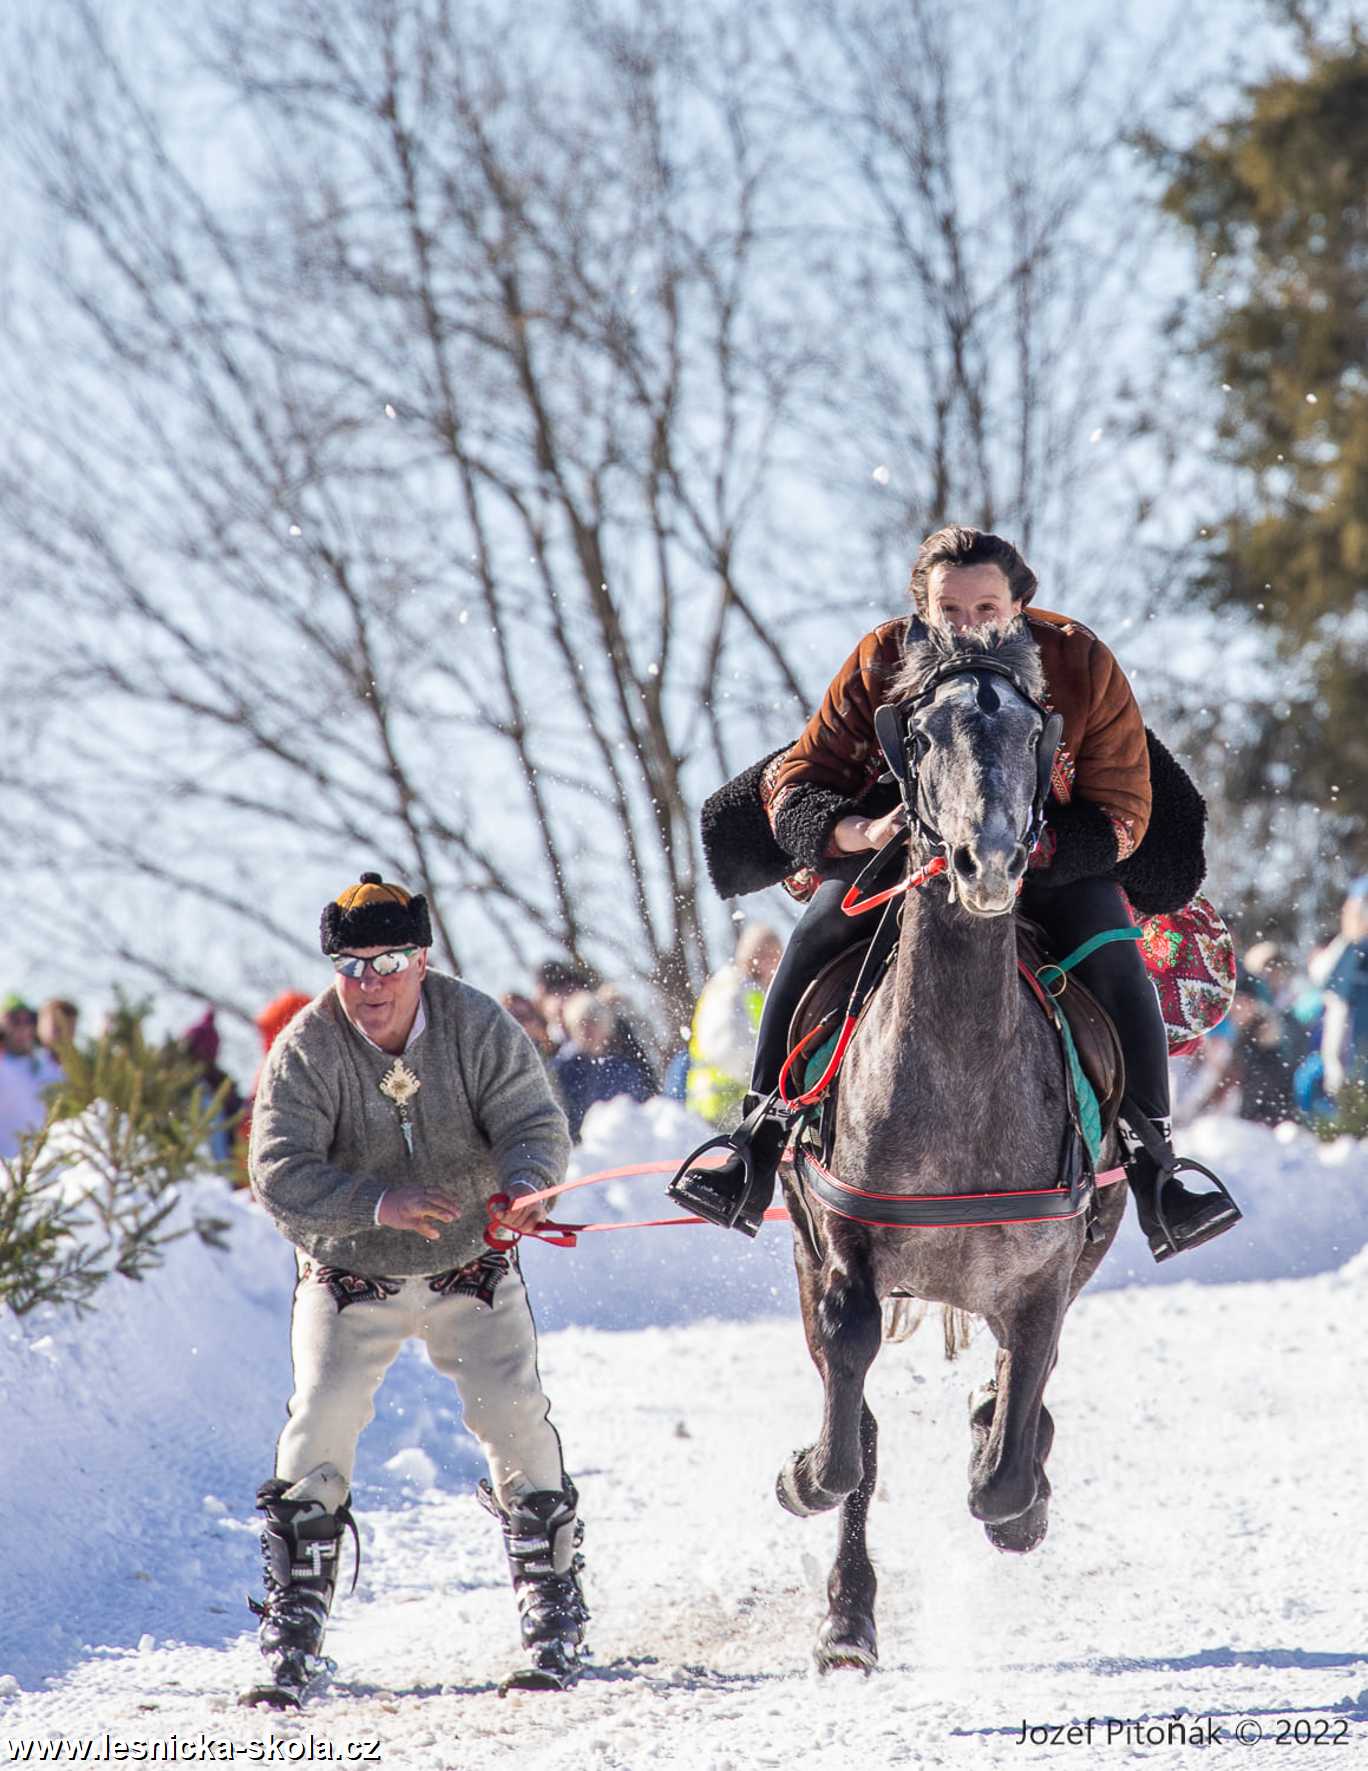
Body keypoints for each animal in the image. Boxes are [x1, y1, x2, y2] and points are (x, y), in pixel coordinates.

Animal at [776, 623, 1127, 1671]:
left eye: (1034, 734)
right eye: (922, 735)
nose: (991, 862)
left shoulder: (1047, 1269)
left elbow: (1007, 1455)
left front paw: (1015, 1492)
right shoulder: (840, 1250)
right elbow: (849, 1438)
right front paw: (808, 1478)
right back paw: (848, 1610)